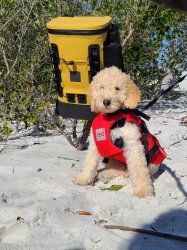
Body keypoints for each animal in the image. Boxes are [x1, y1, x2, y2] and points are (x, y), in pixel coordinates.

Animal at [73, 66, 167, 197]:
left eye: (117, 88)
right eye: (101, 87)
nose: (106, 102)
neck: (112, 117)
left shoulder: (133, 144)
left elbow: (139, 169)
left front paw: (143, 190)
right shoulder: (95, 144)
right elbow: (89, 162)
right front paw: (83, 179)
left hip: (153, 163)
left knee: (132, 171)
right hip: (114, 160)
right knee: (115, 169)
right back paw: (105, 174)